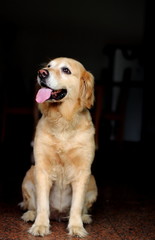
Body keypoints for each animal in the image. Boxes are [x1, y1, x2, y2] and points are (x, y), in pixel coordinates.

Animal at [19, 57, 97, 237]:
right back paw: (30, 215)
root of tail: (59, 215)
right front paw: (40, 225)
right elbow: (42, 204)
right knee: (33, 205)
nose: (41, 73)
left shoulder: (83, 171)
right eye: (49, 66)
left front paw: (76, 227)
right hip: (29, 175)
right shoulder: (42, 169)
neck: (62, 120)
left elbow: (76, 205)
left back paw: (84, 218)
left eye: (66, 70)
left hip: (93, 182)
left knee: (82, 208)